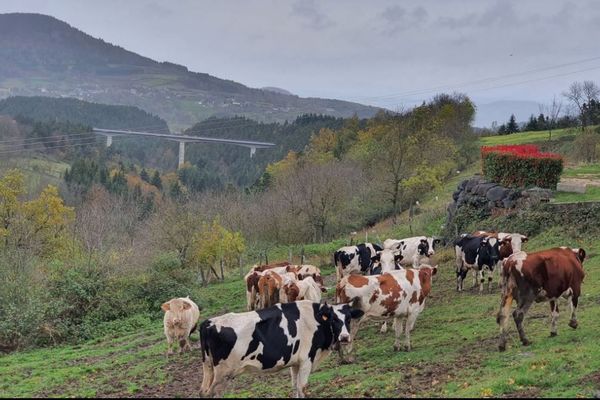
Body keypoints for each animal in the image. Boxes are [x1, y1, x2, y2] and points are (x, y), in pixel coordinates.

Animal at [199, 300, 364, 396]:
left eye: (349, 319)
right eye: (333, 319)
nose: (344, 337)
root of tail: (209, 322)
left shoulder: (296, 363)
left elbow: (295, 387)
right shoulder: (306, 360)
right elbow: (303, 388)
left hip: (208, 368)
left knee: (203, 392)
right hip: (222, 373)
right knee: (210, 394)